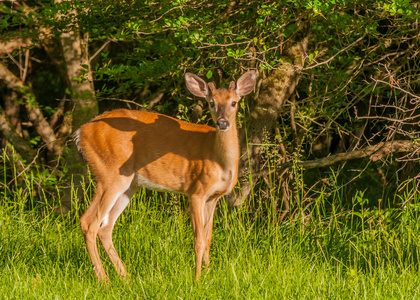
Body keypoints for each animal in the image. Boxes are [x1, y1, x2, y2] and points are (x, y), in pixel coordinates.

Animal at [75, 69, 258, 282]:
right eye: (211, 102)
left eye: (234, 102)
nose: (222, 122)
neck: (220, 161)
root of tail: (80, 132)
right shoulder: (196, 191)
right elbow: (198, 240)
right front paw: (197, 279)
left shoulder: (213, 197)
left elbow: (208, 238)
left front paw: (209, 274)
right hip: (109, 174)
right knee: (89, 222)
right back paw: (104, 280)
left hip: (129, 184)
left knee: (105, 226)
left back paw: (125, 276)